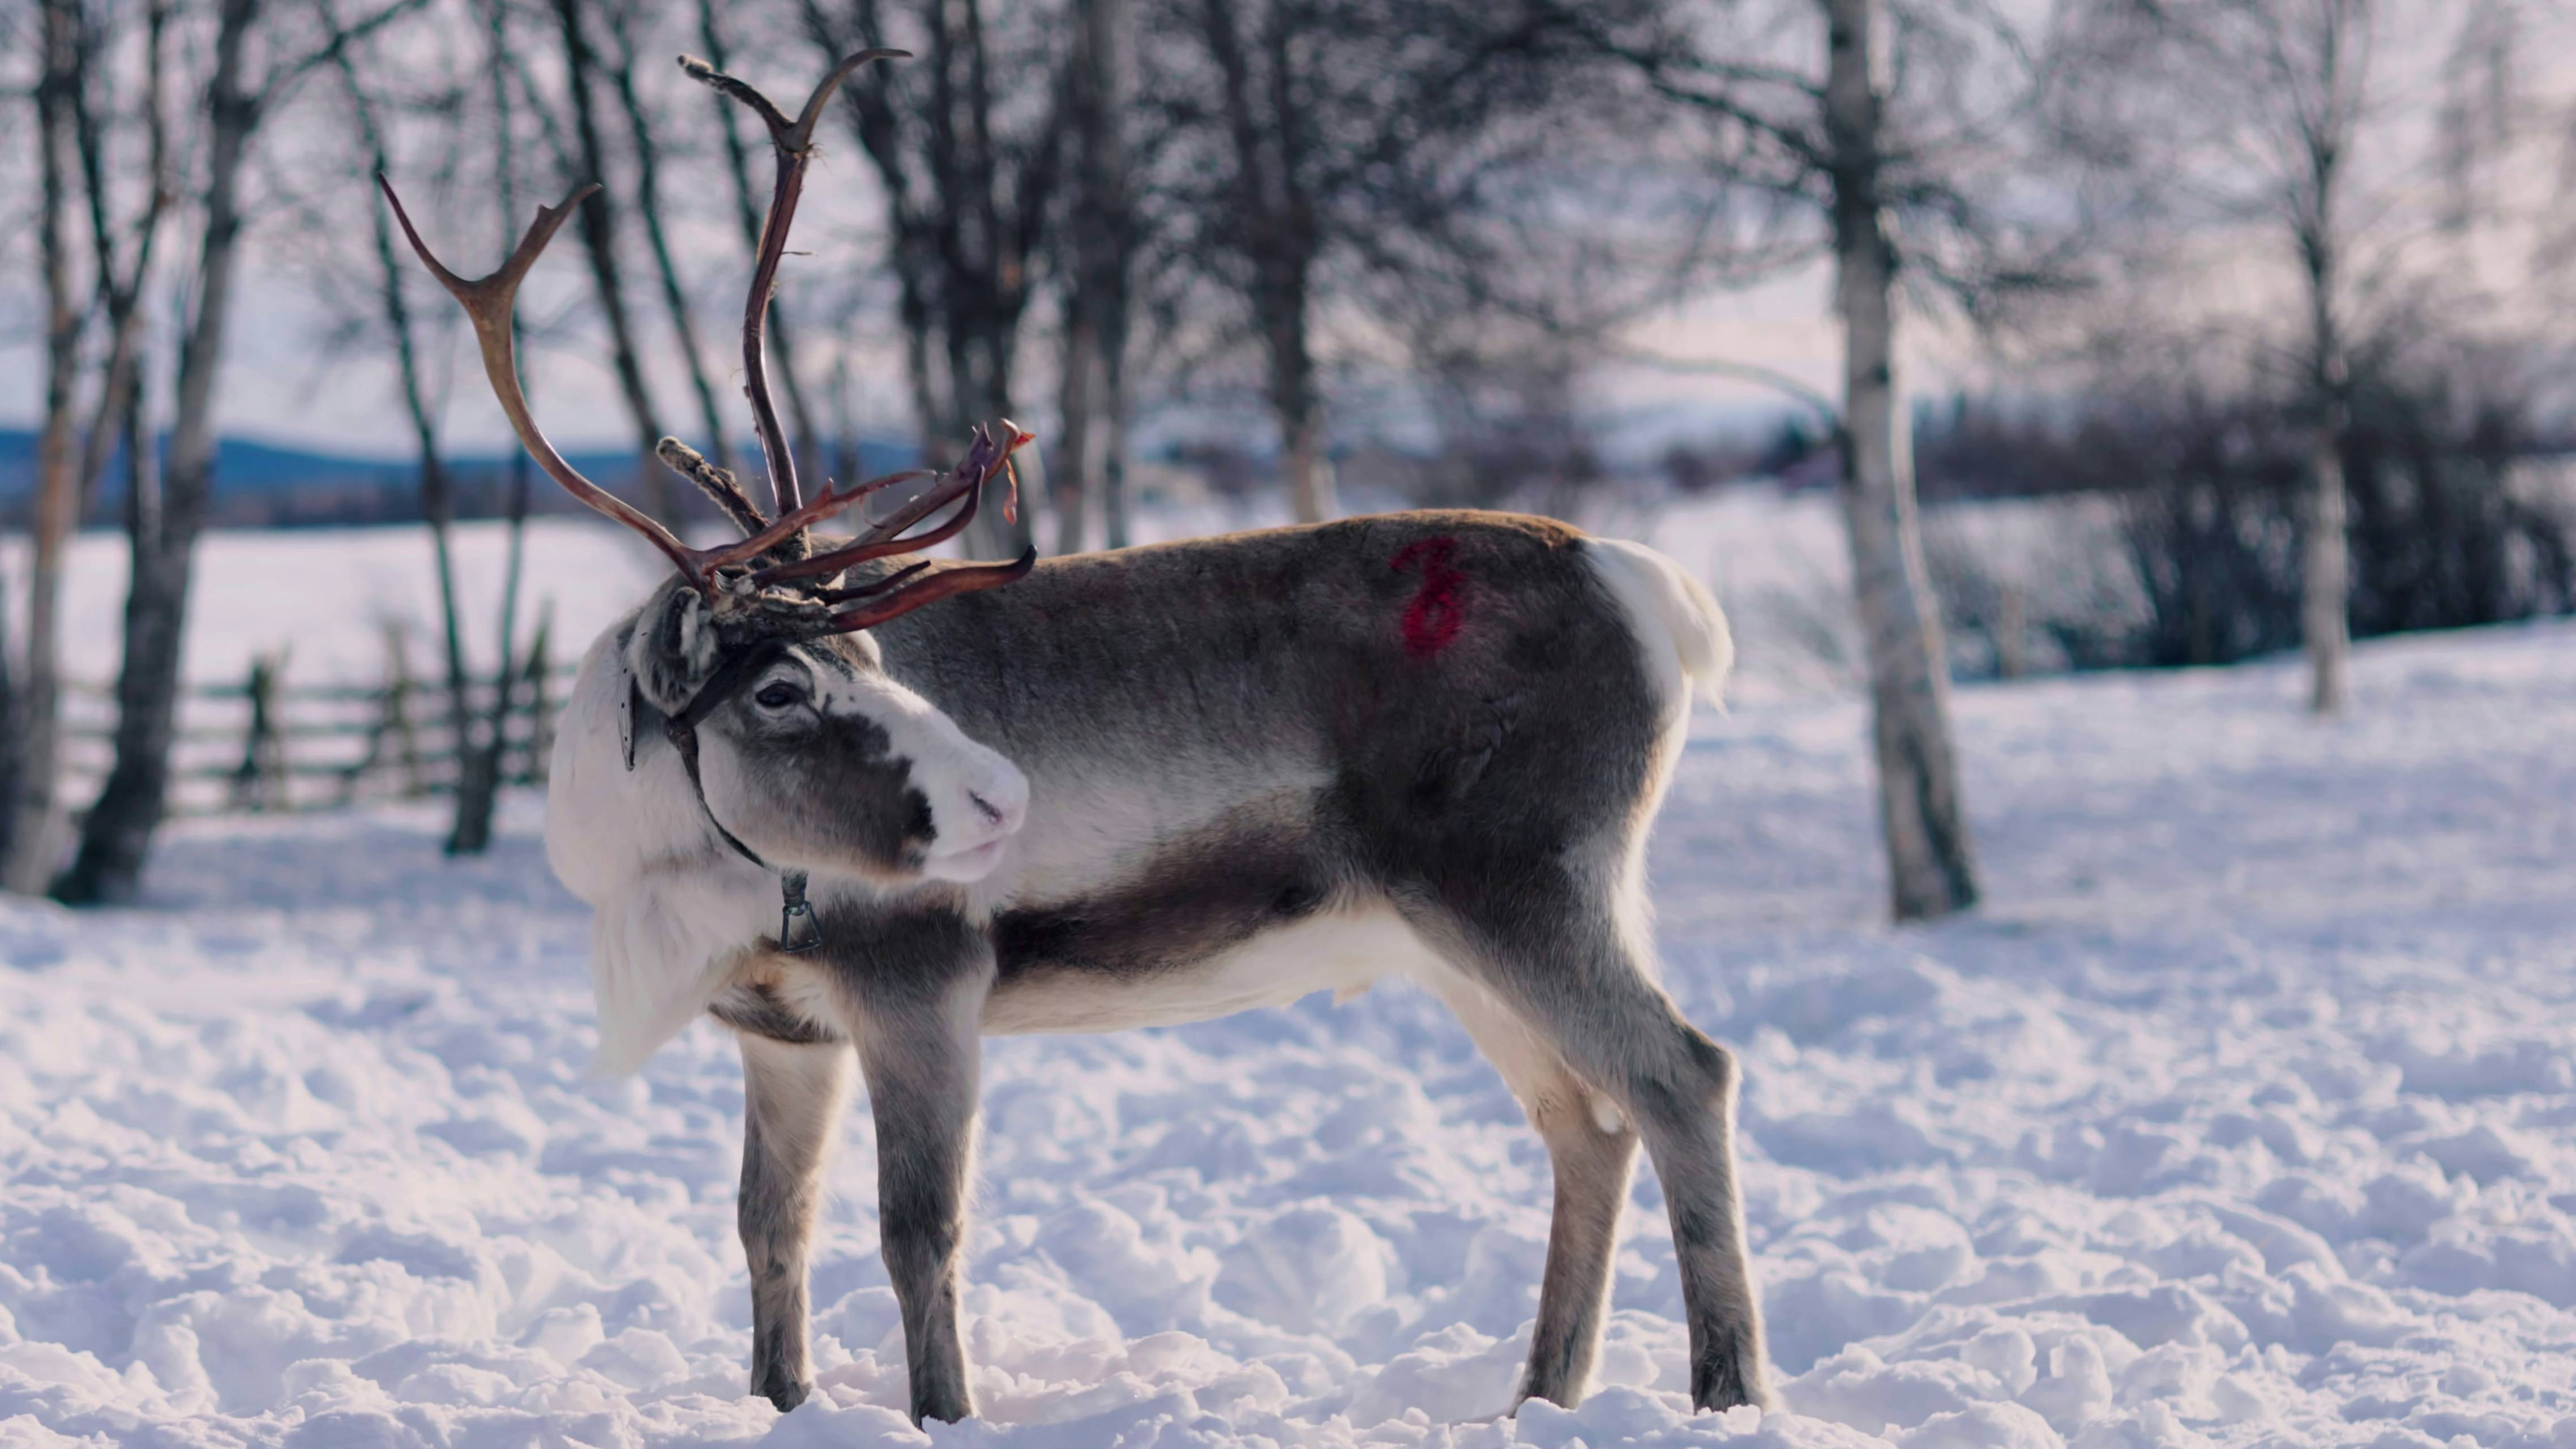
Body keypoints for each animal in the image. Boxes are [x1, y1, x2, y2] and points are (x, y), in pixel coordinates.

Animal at [380, 50, 1768, 1431]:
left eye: (871, 657)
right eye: (776, 686)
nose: (1001, 795)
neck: (657, 872)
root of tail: (1648, 585)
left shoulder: (924, 980)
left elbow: (917, 1229)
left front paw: (943, 1412)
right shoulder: (780, 1031)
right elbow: (768, 1227)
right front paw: (781, 1401)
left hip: (1523, 883)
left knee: (1683, 1073)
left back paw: (1724, 1392)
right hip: (1451, 928)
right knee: (1585, 1120)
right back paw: (1541, 1395)